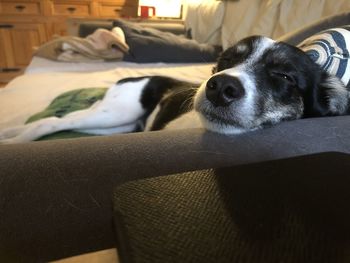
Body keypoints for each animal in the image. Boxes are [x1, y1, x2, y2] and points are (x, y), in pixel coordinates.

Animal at [0, 33, 348, 144]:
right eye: (225, 61)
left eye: (285, 76)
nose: (220, 87)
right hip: (114, 113)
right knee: (50, 122)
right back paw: (16, 140)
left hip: (115, 127)